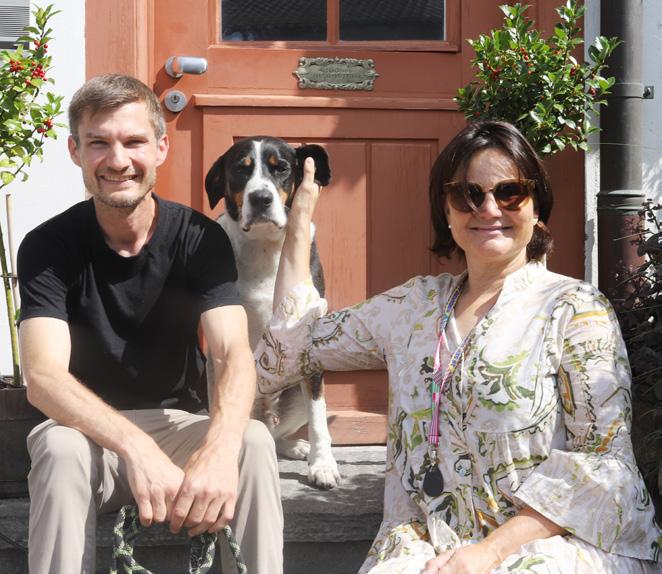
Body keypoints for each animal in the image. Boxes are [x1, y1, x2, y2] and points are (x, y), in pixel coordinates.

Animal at [204, 136, 340, 489]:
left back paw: (295, 446)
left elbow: (319, 418)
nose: (261, 198)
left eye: (281, 168)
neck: (264, 246)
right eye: (241, 169)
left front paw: (322, 465)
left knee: (283, 430)